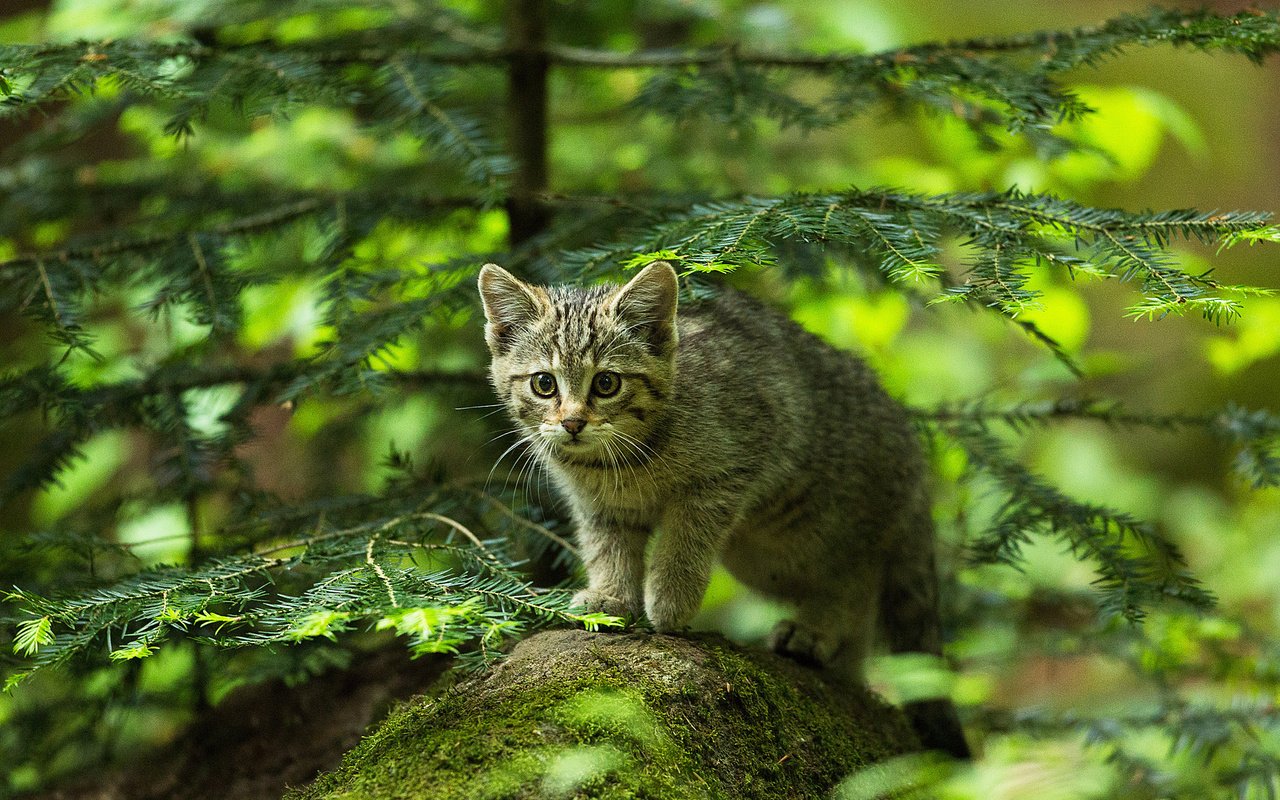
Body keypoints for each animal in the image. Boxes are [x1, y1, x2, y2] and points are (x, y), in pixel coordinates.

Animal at [481, 262, 967, 752]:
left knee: (856, 579)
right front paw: (610, 596)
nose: (572, 423)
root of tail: (910, 442)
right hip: (762, 557)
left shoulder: (727, 473)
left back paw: (816, 629)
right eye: (544, 384)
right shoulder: (599, 507)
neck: (618, 461)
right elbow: (606, 548)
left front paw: (671, 599)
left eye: (606, 382)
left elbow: (685, 541)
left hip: (819, 527)